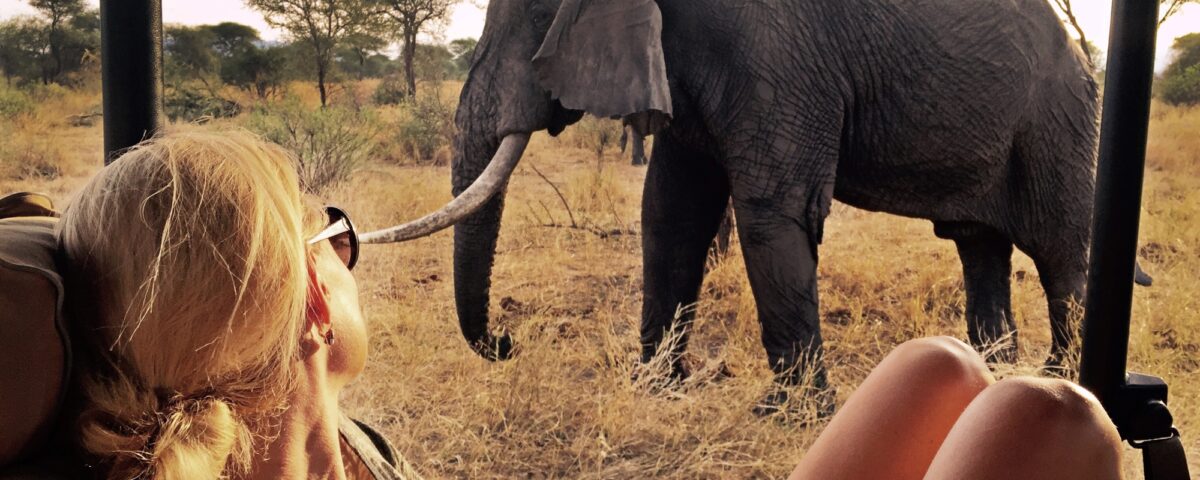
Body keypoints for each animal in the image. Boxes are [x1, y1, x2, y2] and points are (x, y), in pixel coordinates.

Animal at [363, 0, 1121, 409]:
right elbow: (671, 214)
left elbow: (770, 210)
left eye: (536, 18)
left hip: (1058, 114)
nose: (508, 341)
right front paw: (657, 391)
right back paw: (997, 370)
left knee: (1061, 253)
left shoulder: (772, 48)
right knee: (977, 243)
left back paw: (1057, 383)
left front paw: (788, 416)